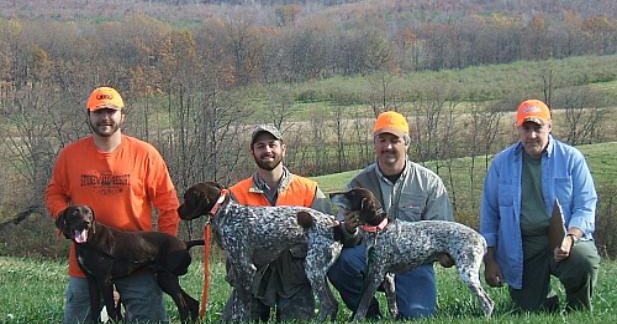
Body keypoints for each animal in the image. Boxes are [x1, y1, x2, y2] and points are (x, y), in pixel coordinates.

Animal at [55, 206, 202, 322]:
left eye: (89, 214)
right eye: (74, 213)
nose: (87, 223)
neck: (89, 242)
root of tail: (184, 243)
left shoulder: (105, 280)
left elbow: (111, 309)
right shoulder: (91, 280)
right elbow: (94, 309)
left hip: (168, 278)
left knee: (183, 307)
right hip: (165, 280)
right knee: (193, 303)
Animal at [176, 182, 344, 322]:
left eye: (187, 198)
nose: (178, 211)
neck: (227, 213)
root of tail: (334, 223)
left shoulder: (246, 269)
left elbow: (244, 308)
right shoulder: (238, 272)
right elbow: (237, 307)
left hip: (313, 268)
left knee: (327, 304)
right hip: (318, 270)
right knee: (333, 304)